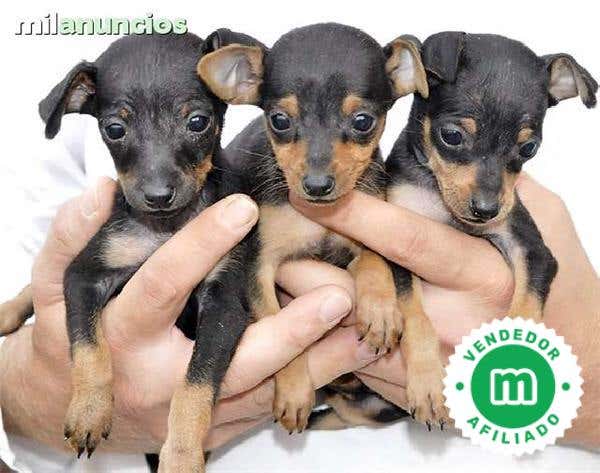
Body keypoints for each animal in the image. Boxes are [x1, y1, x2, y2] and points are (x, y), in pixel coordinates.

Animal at [0, 30, 262, 472]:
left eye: (198, 122)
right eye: (114, 128)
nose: (157, 196)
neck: (166, 229)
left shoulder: (225, 306)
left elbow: (196, 384)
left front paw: (181, 455)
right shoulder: (83, 275)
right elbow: (88, 346)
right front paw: (90, 410)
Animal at [198, 22, 427, 433]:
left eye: (363, 122)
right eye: (279, 121)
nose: (317, 186)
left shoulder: (369, 230)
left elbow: (373, 259)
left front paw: (380, 311)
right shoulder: (259, 269)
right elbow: (279, 326)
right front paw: (292, 391)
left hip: (370, 409)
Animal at [385, 32, 598, 427]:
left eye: (529, 148)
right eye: (451, 136)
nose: (486, 210)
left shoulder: (535, 253)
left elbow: (526, 310)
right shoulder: (397, 242)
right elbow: (416, 317)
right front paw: (427, 384)